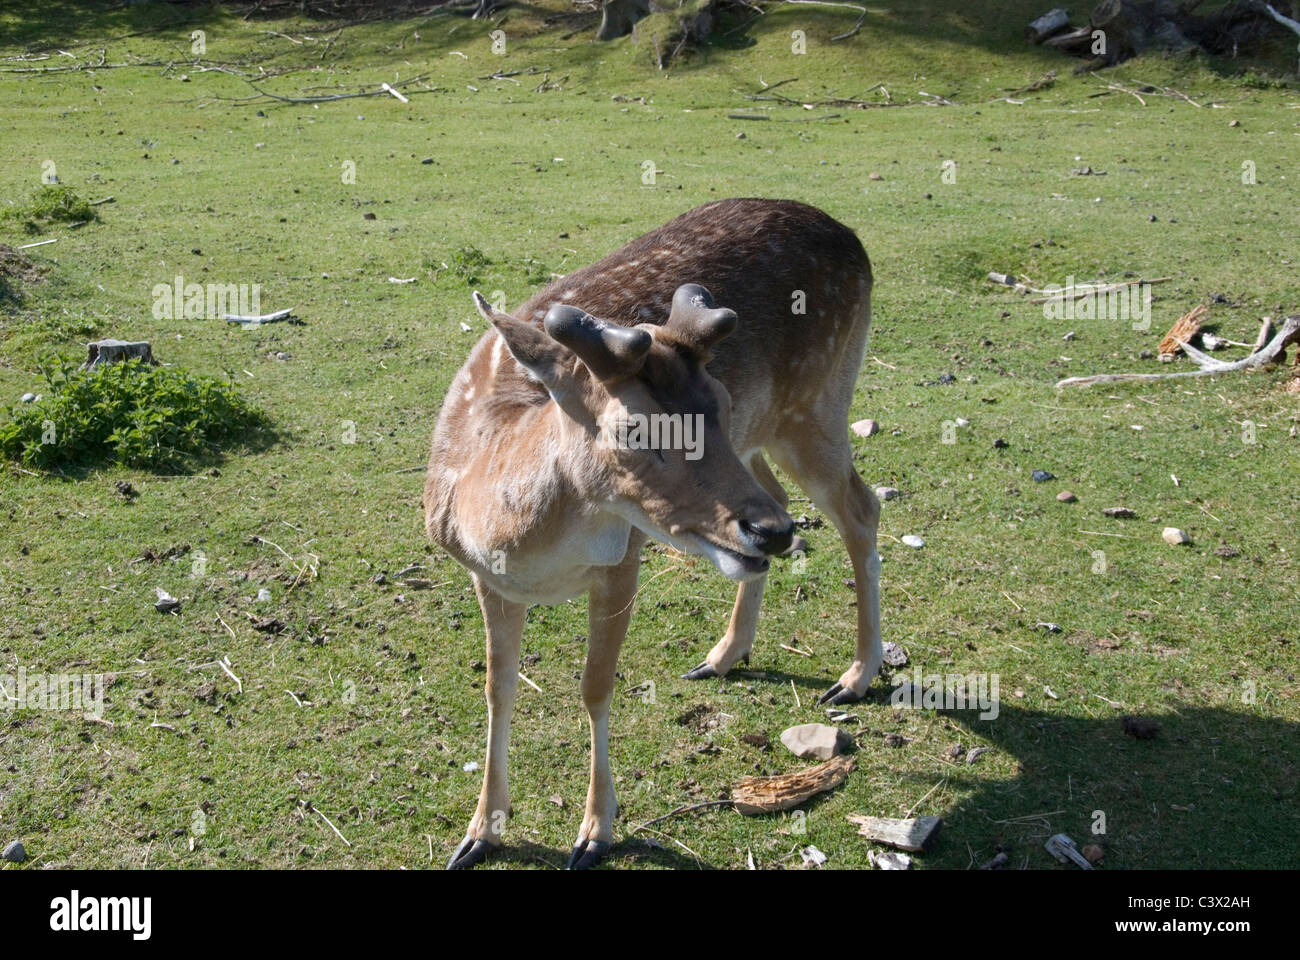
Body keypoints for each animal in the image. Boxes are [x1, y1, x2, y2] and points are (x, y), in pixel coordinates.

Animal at [426, 200, 883, 868]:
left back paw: (853, 678)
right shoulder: (486, 577)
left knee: (861, 508)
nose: (770, 537)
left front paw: (595, 832)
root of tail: (850, 237)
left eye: (719, 401)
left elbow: (594, 688)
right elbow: (497, 687)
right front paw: (480, 832)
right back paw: (724, 654)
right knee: (785, 498)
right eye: (636, 429)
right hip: (767, 436)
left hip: (815, 404)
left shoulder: (623, 560)